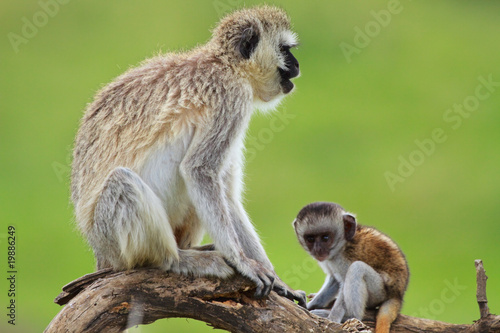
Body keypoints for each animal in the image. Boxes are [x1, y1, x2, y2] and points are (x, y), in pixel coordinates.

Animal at [70, 5, 304, 306]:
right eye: (285, 50)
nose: (298, 66)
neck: (227, 65)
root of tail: (100, 253)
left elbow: (226, 194)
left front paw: (279, 282)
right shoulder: (231, 99)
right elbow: (199, 170)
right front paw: (242, 262)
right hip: (110, 238)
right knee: (122, 182)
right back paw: (176, 260)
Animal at [294, 201, 408, 332]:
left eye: (325, 238)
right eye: (310, 239)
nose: (318, 249)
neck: (343, 245)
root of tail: (398, 294)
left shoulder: (343, 259)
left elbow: (344, 281)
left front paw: (332, 318)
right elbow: (335, 280)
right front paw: (309, 305)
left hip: (379, 293)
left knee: (357, 268)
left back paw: (350, 316)